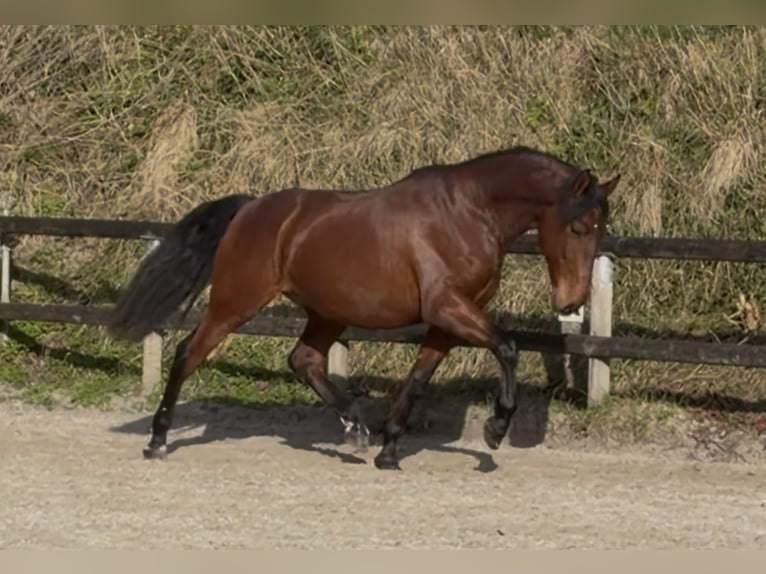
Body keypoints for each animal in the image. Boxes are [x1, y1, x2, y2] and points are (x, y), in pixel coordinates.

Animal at [109, 145, 620, 471]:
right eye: (579, 227)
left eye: (602, 230)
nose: (571, 301)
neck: (468, 212)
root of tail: (251, 209)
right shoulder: (448, 308)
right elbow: (508, 346)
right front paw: (496, 427)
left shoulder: (449, 320)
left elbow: (418, 378)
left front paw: (389, 450)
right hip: (236, 302)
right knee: (188, 355)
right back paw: (157, 440)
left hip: (327, 312)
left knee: (304, 360)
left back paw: (356, 426)